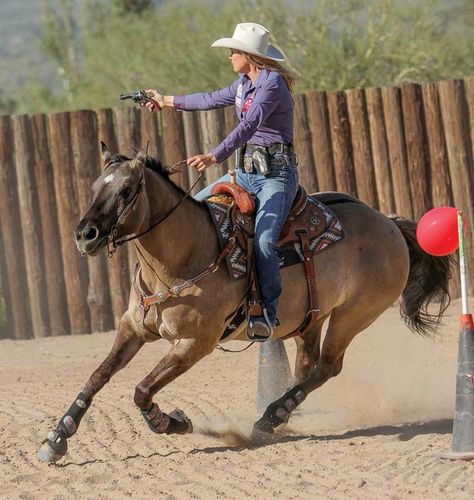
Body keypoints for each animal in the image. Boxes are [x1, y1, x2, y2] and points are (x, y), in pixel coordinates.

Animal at [39, 143, 450, 462]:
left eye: (126, 190)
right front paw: (57, 438)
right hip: (312, 318)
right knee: (306, 366)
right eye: (96, 186)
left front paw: (171, 421)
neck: (182, 256)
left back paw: (269, 417)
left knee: (328, 367)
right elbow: (97, 377)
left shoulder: (195, 344)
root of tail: (389, 222)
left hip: (353, 315)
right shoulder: (132, 328)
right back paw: (277, 416)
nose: (85, 235)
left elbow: (142, 390)